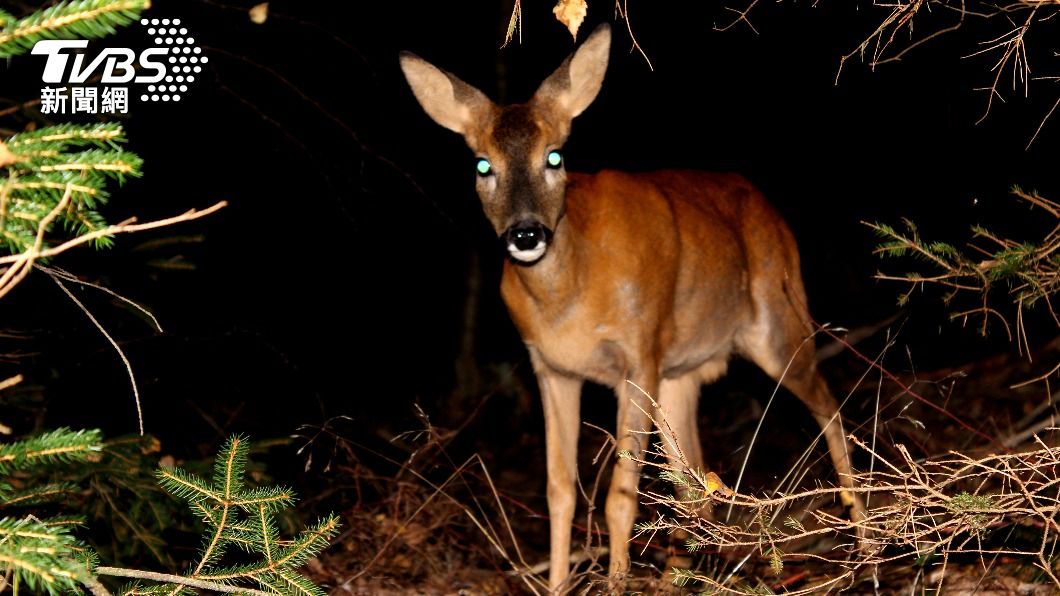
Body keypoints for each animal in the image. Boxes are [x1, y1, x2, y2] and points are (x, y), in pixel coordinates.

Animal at [400, 23, 867, 591]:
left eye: (555, 156)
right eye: (483, 165)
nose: (526, 234)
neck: (568, 298)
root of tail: (771, 211)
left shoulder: (638, 353)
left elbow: (620, 497)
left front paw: (615, 583)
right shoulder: (551, 367)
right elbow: (560, 491)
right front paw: (557, 586)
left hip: (778, 322)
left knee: (831, 410)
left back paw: (867, 552)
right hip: (680, 375)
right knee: (695, 480)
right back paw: (686, 576)